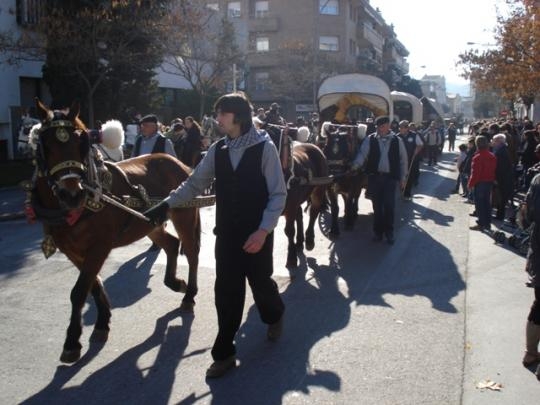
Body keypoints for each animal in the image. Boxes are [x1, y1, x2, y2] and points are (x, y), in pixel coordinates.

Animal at [28, 98, 200, 362]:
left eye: (80, 143)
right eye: (45, 145)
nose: (72, 194)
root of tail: (180, 164)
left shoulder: (99, 246)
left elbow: (79, 291)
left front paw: (72, 342)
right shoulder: (72, 250)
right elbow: (94, 285)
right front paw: (102, 323)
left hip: (184, 217)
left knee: (191, 253)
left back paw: (189, 294)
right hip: (149, 222)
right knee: (171, 243)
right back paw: (175, 282)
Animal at [266, 124, 330, 266]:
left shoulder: (290, 207)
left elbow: (289, 230)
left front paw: (291, 257)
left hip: (318, 190)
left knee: (313, 212)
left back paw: (309, 240)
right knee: (300, 214)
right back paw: (300, 241)